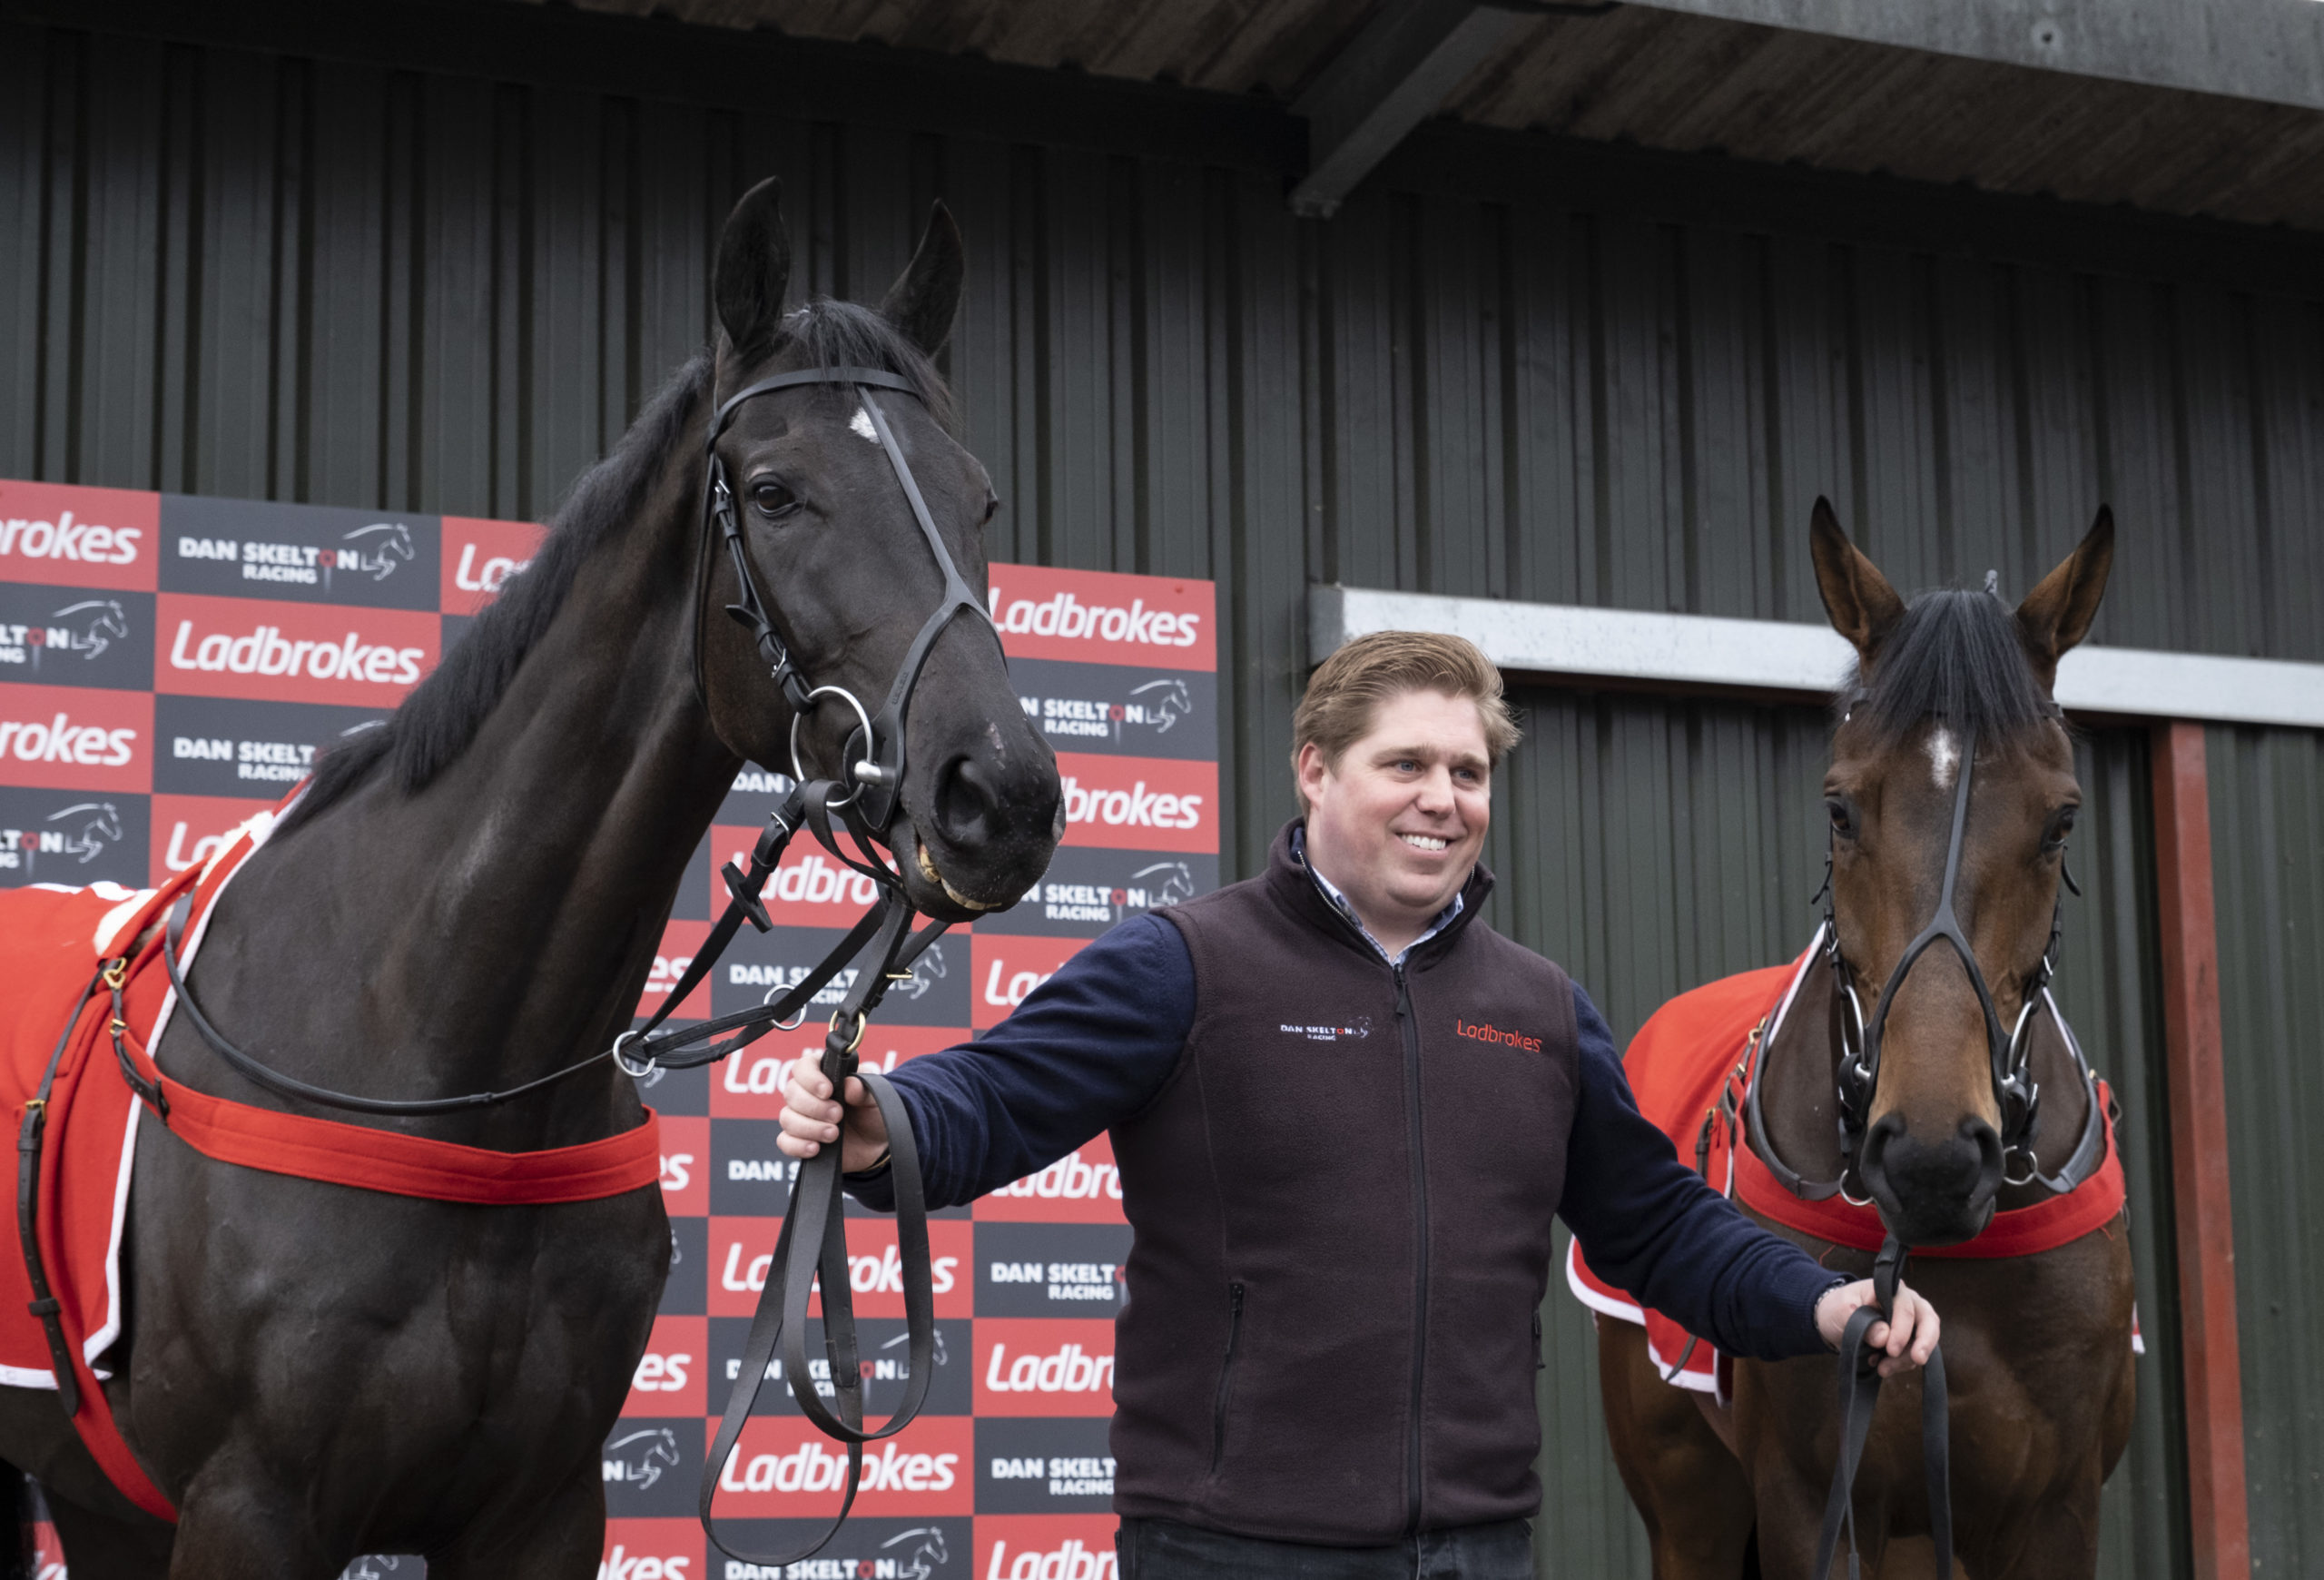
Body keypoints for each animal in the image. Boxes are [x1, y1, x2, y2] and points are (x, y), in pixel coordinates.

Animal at [2, 179, 1064, 1580]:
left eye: (978, 500)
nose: (1001, 796)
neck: (450, 1065)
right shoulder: (249, 1511)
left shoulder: (546, 1509)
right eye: (775, 492)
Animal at [1599, 501, 2128, 1570]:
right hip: (1692, 1508)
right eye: (1839, 808)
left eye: (2060, 821)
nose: (1930, 1159)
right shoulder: (1815, 1501)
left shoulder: (2053, 1511)